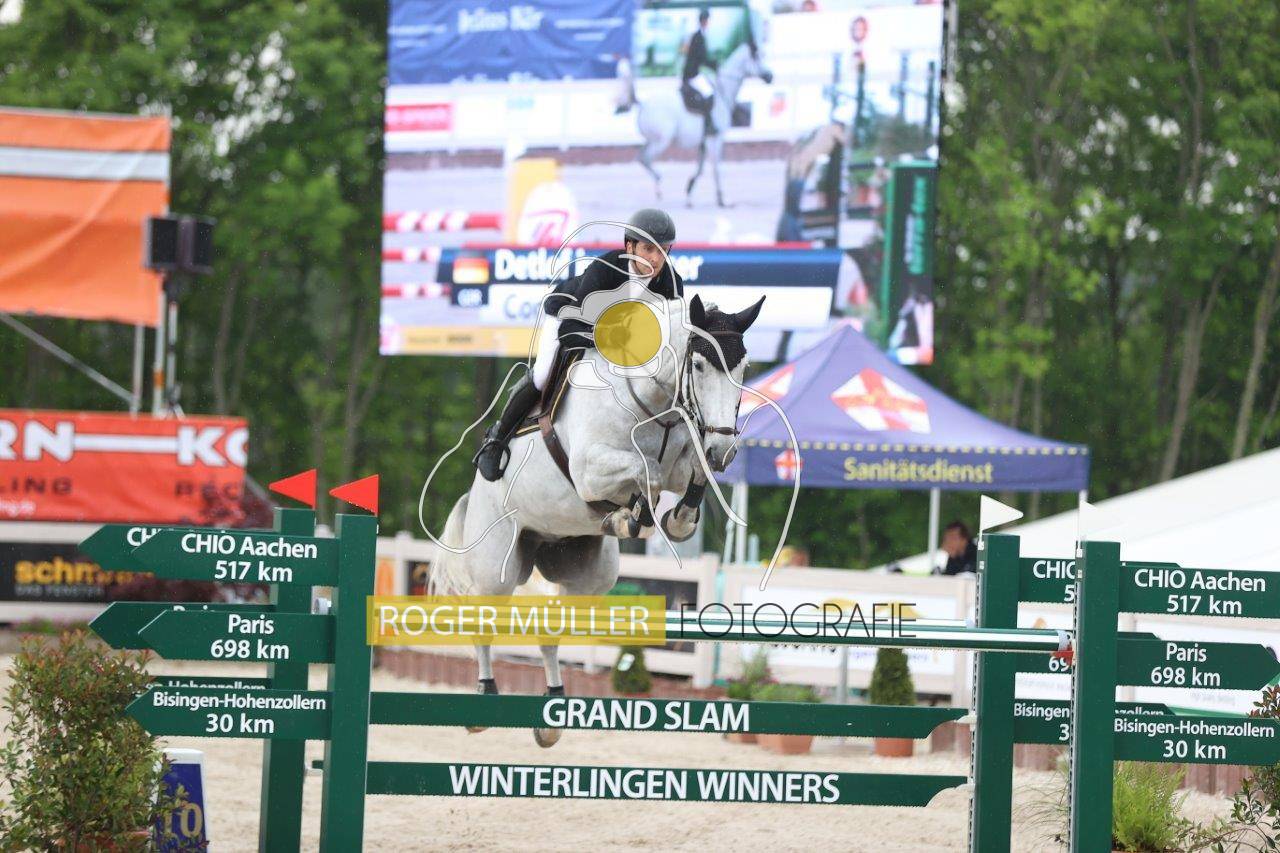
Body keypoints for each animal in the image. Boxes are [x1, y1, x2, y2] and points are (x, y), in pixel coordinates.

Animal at [429, 294, 764, 747]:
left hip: (588, 578)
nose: (724, 450)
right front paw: (633, 515)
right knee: (484, 618)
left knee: (550, 631)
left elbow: (689, 471)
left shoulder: (683, 460)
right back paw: (485, 696)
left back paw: (551, 716)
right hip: (496, 566)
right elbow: (647, 473)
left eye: (743, 367)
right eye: (697, 365)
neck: (653, 406)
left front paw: (674, 518)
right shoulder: (590, 470)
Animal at [616, 27, 773, 207]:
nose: (770, 77)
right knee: (645, 159)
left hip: (652, 140)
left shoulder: (703, 143)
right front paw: (722, 200)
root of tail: (642, 104)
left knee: (641, 157)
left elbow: (700, 169)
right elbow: (716, 168)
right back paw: (659, 188)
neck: (721, 95)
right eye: (757, 56)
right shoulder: (715, 139)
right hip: (661, 141)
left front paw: (690, 194)